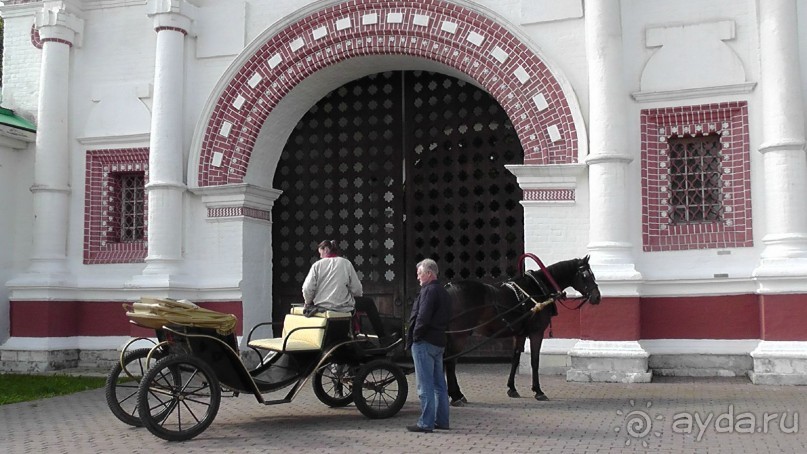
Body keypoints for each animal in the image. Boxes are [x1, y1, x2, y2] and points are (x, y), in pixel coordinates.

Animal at [446, 255, 604, 404]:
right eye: (585, 275)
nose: (597, 297)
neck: (538, 289)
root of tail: (448, 289)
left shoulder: (520, 334)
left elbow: (515, 359)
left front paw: (512, 388)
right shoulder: (536, 333)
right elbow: (535, 361)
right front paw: (538, 391)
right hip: (459, 336)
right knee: (451, 362)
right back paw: (456, 396)